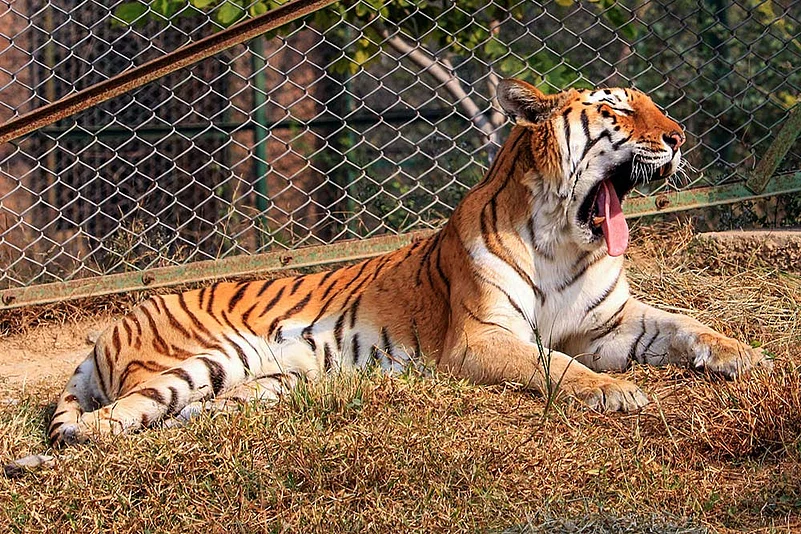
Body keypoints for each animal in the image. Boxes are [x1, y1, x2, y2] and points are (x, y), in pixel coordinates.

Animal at [44, 78, 770, 447]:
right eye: (618, 109)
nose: (679, 137)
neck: (567, 237)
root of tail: (110, 327)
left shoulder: (610, 324)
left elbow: (683, 323)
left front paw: (746, 354)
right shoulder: (482, 338)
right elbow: (551, 364)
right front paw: (613, 391)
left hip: (268, 378)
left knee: (189, 413)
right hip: (192, 361)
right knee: (100, 425)